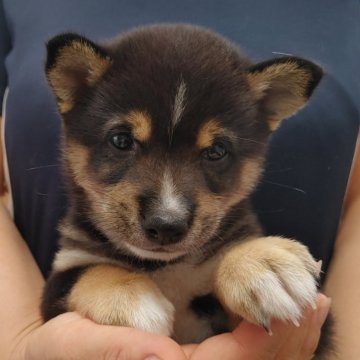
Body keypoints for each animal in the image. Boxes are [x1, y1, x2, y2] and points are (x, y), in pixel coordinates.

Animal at [41, 23, 330, 356]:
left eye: (217, 151)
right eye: (121, 140)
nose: (166, 225)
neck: (166, 268)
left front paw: (261, 264)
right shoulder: (63, 274)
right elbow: (89, 272)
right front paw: (131, 297)